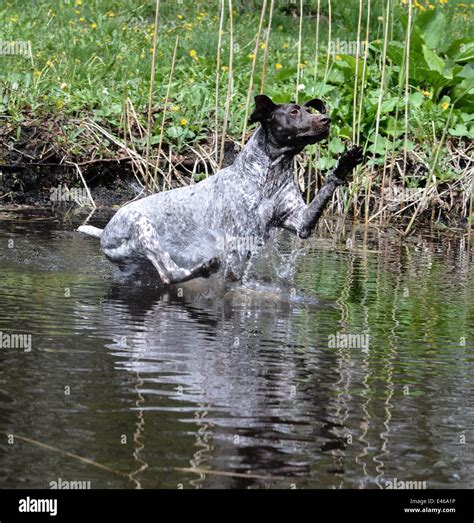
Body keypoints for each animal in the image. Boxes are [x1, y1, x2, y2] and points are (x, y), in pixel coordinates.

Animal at [78, 94, 362, 282]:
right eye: (293, 112)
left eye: (308, 109)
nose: (326, 119)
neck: (269, 177)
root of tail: (105, 231)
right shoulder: (238, 243)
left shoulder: (301, 222)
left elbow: (327, 188)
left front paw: (344, 165)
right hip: (142, 228)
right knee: (171, 274)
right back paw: (201, 269)